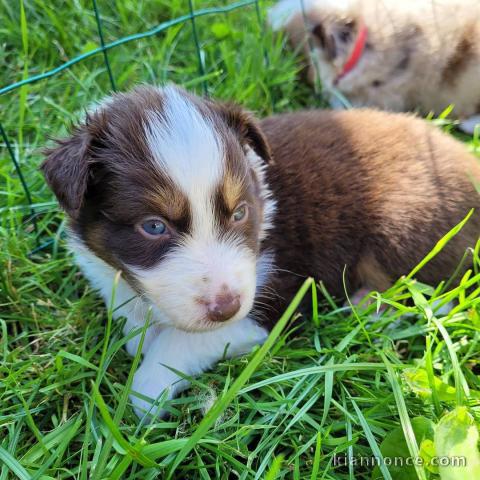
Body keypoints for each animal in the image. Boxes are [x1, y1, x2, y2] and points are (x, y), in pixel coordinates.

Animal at [41, 84, 480, 418]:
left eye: (239, 213)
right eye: (153, 226)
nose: (226, 307)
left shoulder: (277, 298)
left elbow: (183, 343)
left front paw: (147, 391)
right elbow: (136, 323)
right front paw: (140, 339)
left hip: (406, 221)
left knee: (438, 290)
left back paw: (369, 308)